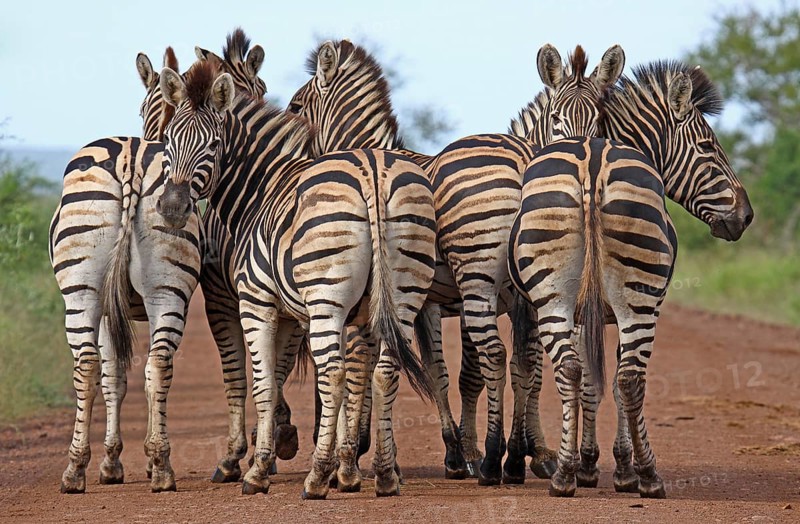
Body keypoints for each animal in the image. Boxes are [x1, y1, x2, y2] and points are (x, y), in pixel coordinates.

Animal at [156, 58, 437, 498]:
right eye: (168, 140)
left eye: (214, 146)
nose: (171, 208)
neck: (262, 189)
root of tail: (371, 169)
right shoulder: (300, 315)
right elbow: (303, 380)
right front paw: (346, 467)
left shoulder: (257, 304)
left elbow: (263, 383)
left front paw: (257, 471)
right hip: (405, 294)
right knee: (385, 372)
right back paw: (385, 476)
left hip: (327, 299)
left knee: (334, 373)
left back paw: (317, 479)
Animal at [287, 39, 625, 484]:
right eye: (555, 119)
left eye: (293, 106)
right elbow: (484, 372)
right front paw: (520, 451)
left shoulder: (429, 301)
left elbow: (440, 371)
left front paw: (453, 452)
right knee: (529, 364)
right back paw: (519, 459)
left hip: (481, 278)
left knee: (500, 358)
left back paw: (499, 459)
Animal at [508, 62, 753, 497]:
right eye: (708, 147)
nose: (746, 216)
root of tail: (590, 166)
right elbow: (607, 382)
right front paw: (617, 466)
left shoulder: (583, 311)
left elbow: (587, 379)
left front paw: (586, 464)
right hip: (639, 300)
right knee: (629, 378)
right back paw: (648, 476)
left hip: (553, 296)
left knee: (566, 369)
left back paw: (556, 471)